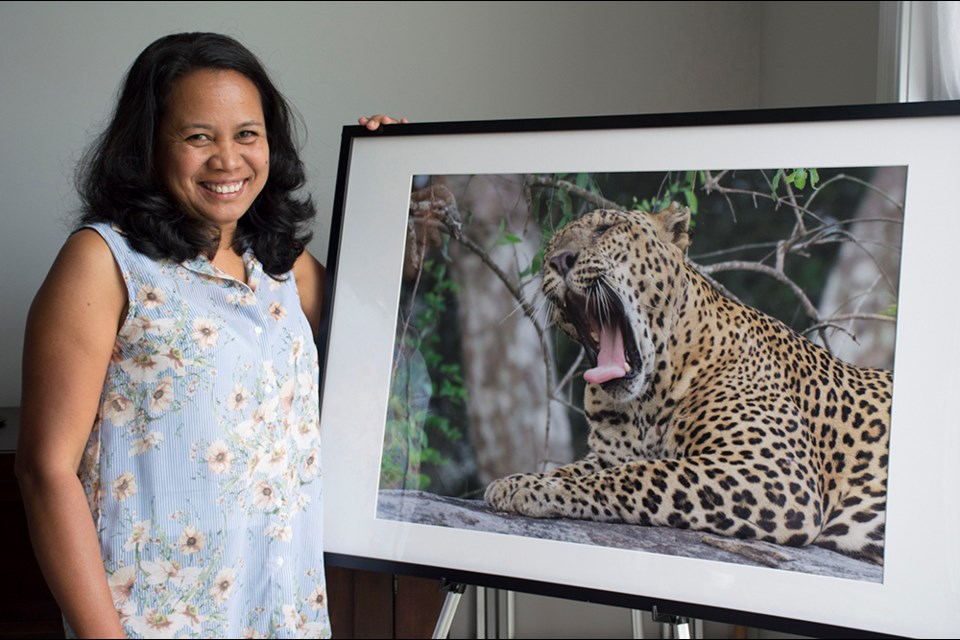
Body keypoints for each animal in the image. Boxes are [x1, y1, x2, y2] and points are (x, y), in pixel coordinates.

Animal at [484, 202, 896, 564]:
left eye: (605, 229)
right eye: (551, 247)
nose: (559, 260)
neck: (645, 402)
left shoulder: (774, 472)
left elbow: (640, 475)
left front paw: (535, 489)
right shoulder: (607, 455)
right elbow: (577, 469)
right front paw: (517, 481)